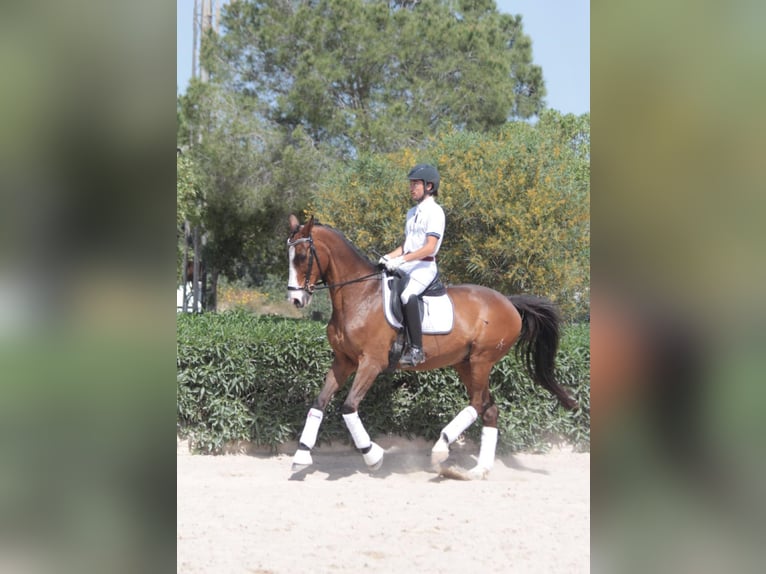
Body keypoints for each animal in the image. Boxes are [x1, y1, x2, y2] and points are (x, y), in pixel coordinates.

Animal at [286, 214, 578, 479]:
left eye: (301, 256)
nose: (296, 300)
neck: (359, 297)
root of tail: (509, 302)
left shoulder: (371, 362)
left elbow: (348, 407)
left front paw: (373, 456)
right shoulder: (343, 361)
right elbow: (319, 402)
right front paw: (301, 456)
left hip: (481, 360)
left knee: (477, 404)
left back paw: (441, 448)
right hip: (465, 363)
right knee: (489, 409)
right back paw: (477, 470)